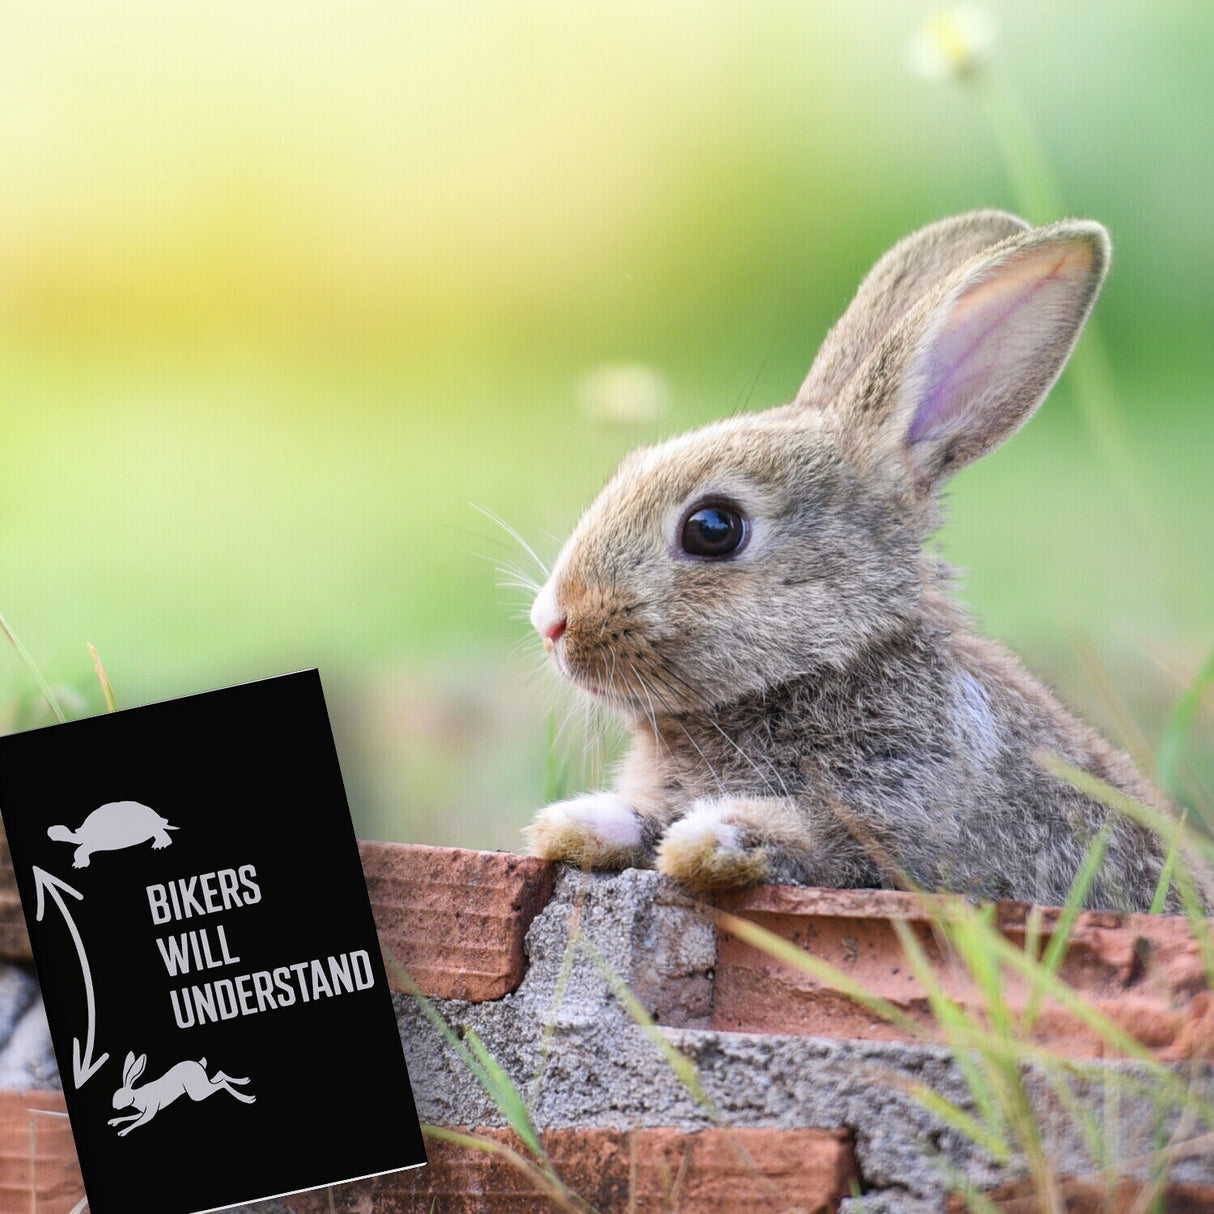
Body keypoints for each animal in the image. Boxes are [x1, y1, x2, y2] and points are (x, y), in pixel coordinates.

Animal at [109, 1050, 254, 1135]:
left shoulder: (150, 1110)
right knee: (220, 1075)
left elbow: (137, 1121)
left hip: (197, 1093)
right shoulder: (142, 1111)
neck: (137, 1095)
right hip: (201, 1085)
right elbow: (131, 1117)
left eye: (121, 1096)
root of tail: (199, 1064)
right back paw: (244, 1081)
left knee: (221, 1083)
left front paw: (123, 1132)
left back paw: (247, 1098)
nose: (114, 1107)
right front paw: (114, 1121)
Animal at [523, 209, 1186, 913]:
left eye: (713, 528)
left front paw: (711, 840)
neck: (830, 663)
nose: (551, 622)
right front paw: (577, 823)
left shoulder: (898, 825)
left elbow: (814, 841)